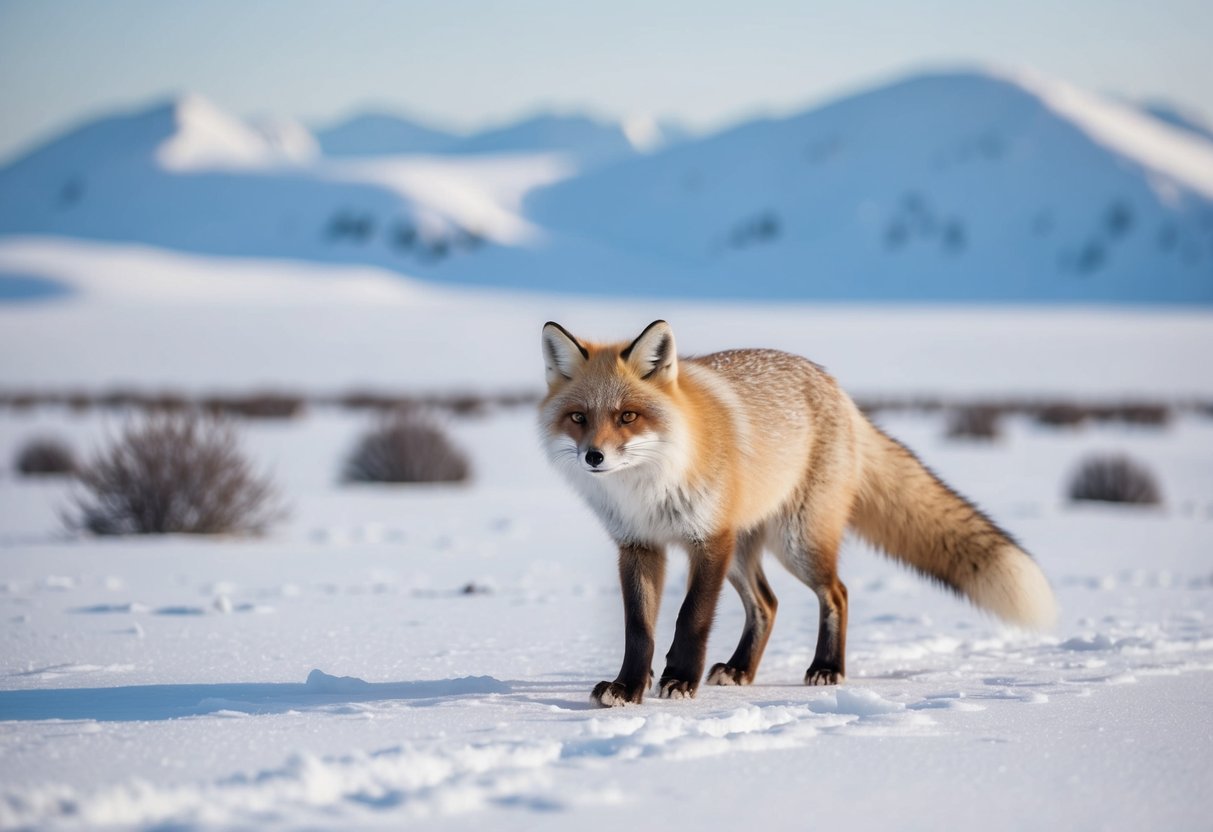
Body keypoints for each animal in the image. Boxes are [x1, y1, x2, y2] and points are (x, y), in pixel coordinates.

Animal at [539, 320, 1057, 707]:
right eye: (579, 418)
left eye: (627, 416)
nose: (594, 457)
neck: (648, 487)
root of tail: (836, 387)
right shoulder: (638, 545)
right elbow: (638, 629)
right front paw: (628, 687)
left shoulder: (710, 540)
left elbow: (691, 618)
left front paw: (680, 680)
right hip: (745, 553)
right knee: (767, 605)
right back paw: (741, 670)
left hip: (797, 545)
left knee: (837, 594)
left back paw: (826, 668)